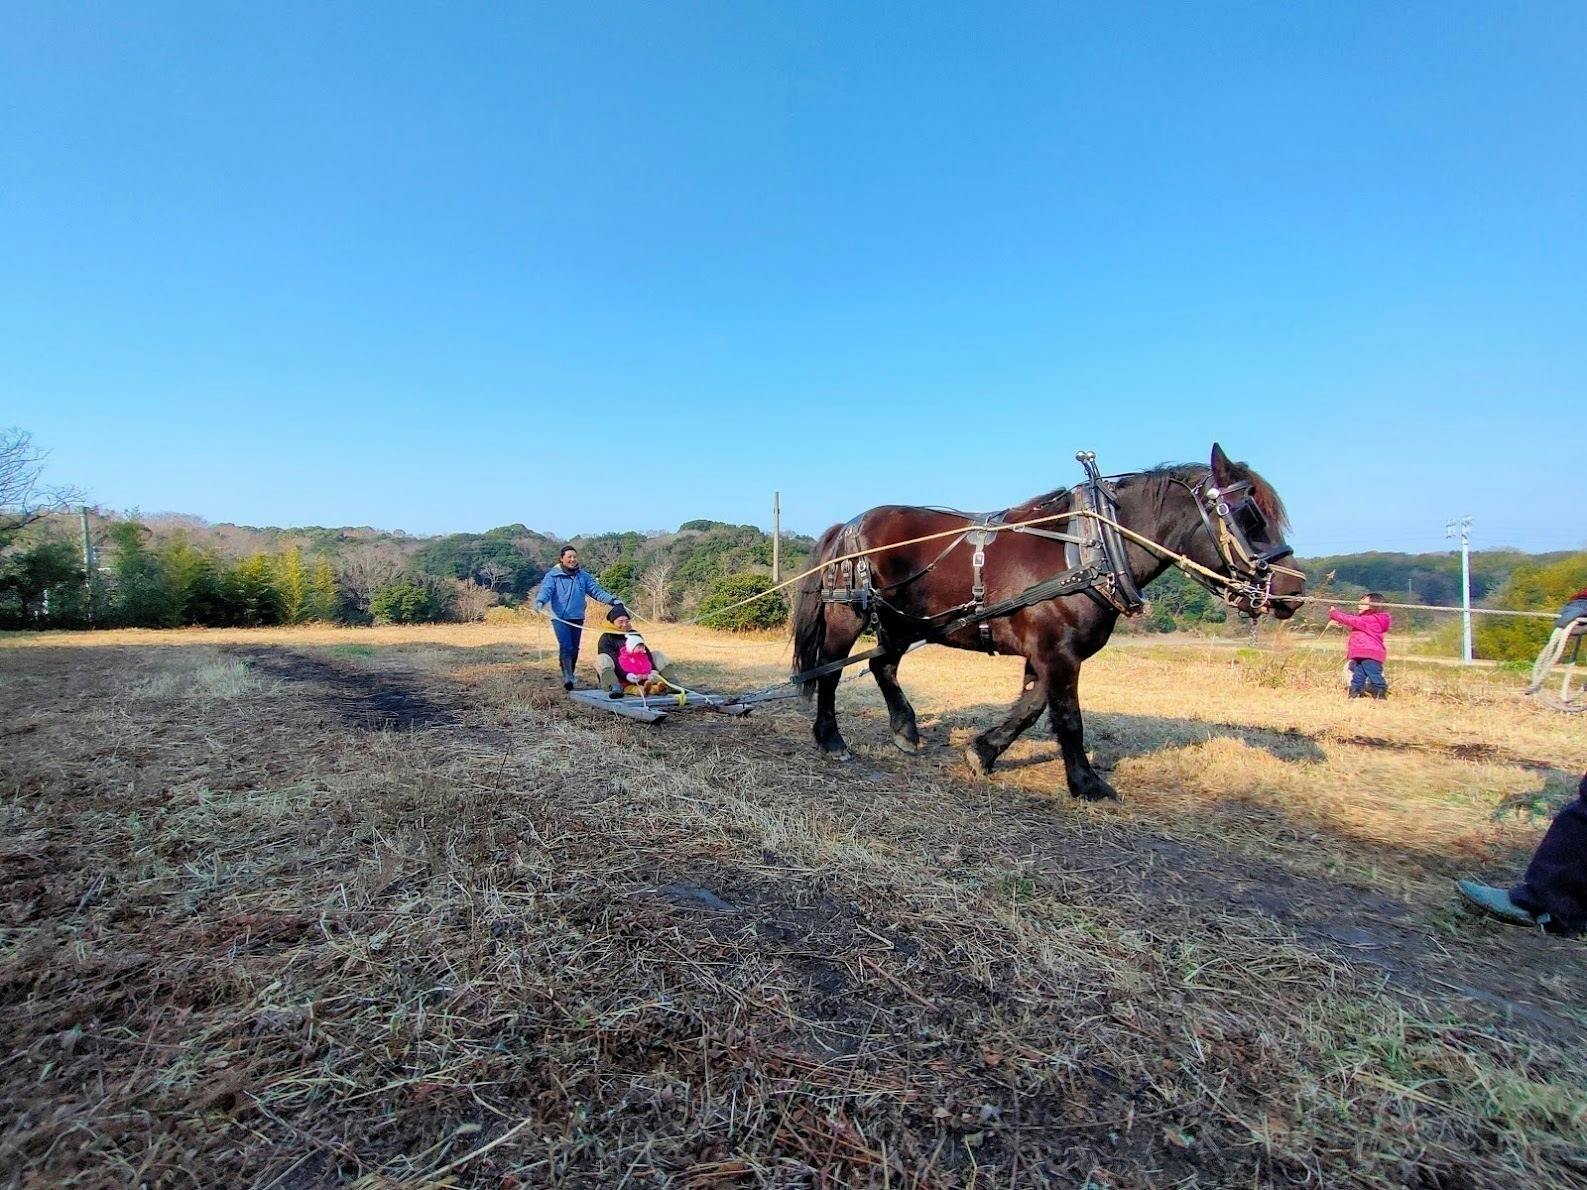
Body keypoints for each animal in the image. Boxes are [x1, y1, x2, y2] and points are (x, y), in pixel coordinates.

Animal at [790, 447, 1301, 802]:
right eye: (1250, 515)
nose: (1293, 591)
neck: (1094, 547)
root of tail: (849, 525)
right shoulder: (1059, 653)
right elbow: (1069, 718)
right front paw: (1086, 784)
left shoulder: (1048, 654)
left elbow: (1032, 707)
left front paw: (983, 751)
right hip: (850, 614)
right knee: (830, 673)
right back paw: (831, 739)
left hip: (904, 621)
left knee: (883, 667)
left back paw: (906, 731)